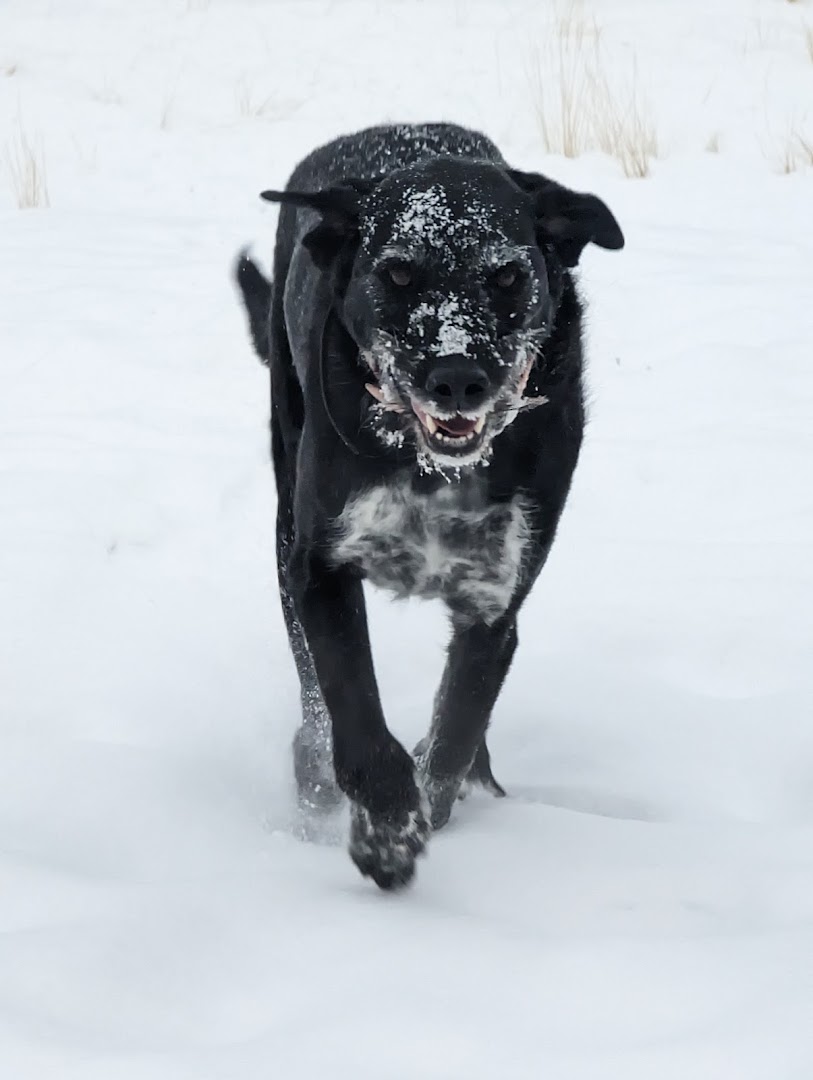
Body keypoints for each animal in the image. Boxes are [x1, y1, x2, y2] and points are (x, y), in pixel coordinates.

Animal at [234, 122, 621, 889]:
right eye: (398, 274)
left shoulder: (494, 603)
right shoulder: (321, 568)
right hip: (286, 513)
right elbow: (351, 701)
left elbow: (455, 730)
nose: (457, 377)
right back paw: (315, 777)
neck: (430, 467)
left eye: (506, 275)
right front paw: (385, 828)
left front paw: (427, 804)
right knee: (312, 695)